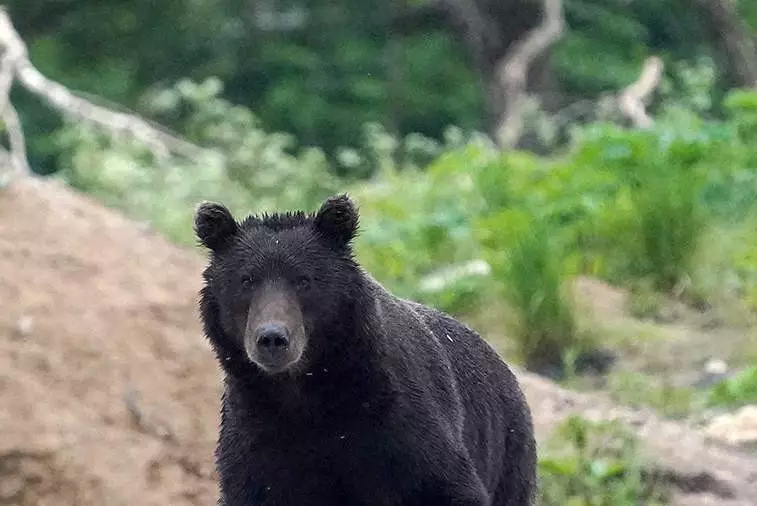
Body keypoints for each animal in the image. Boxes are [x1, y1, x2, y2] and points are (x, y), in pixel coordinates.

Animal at [195, 195, 536, 506]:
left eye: (303, 280)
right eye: (247, 280)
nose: (272, 338)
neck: (308, 389)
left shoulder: (401, 425)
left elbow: (446, 484)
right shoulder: (258, 434)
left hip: (507, 450)